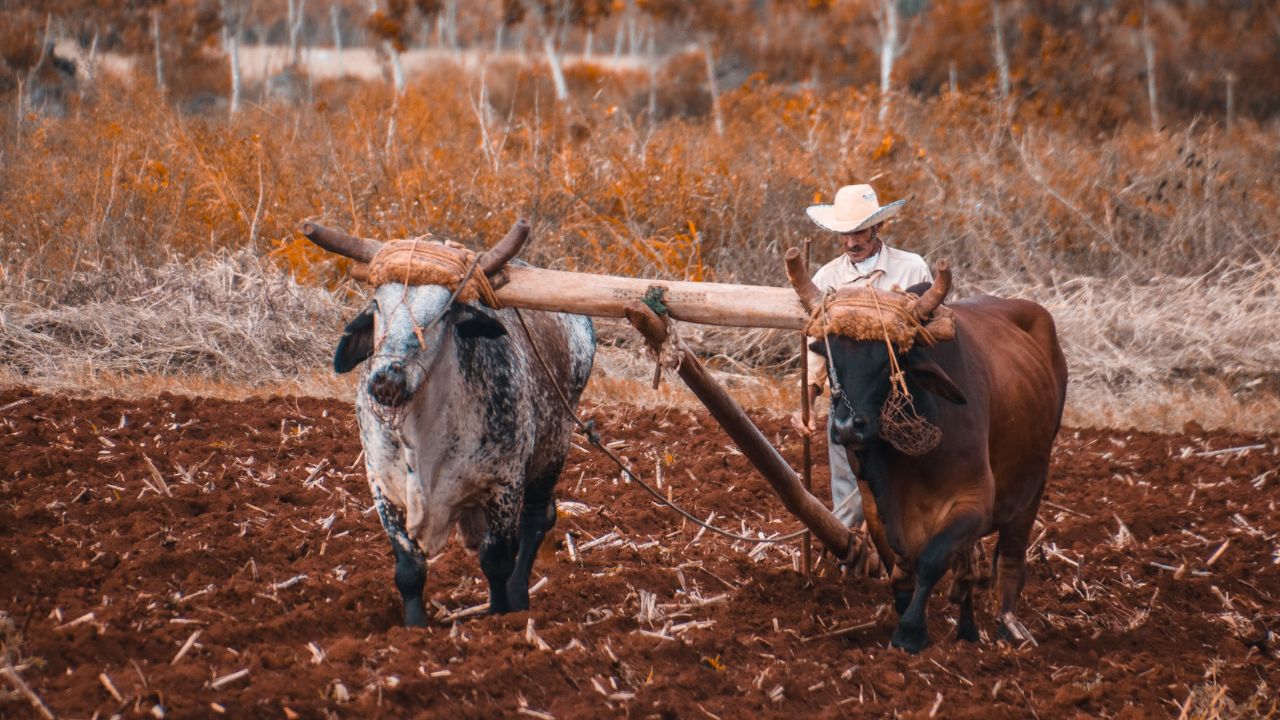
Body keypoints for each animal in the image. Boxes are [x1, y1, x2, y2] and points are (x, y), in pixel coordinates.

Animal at [301, 220, 595, 626]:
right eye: (377, 304)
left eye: (445, 310)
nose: (387, 379)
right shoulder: (382, 485)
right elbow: (409, 569)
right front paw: (414, 627)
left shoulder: (504, 483)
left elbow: (497, 560)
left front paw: (499, 617)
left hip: (555, 446)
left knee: (538, 518)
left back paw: (519, 596)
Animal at [785, 249, 1068, 653]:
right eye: (829, 351)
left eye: (888, 359)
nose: (846, 427)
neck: (911, 465)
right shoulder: (877, 509)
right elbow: (900, 565)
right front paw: (908, 619)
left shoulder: (974, 503)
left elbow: (933, 560)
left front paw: (910, 633)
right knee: (967, 566)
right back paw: (968, 630)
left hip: (1033, 484)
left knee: (1011, 555)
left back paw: (1008, 628)